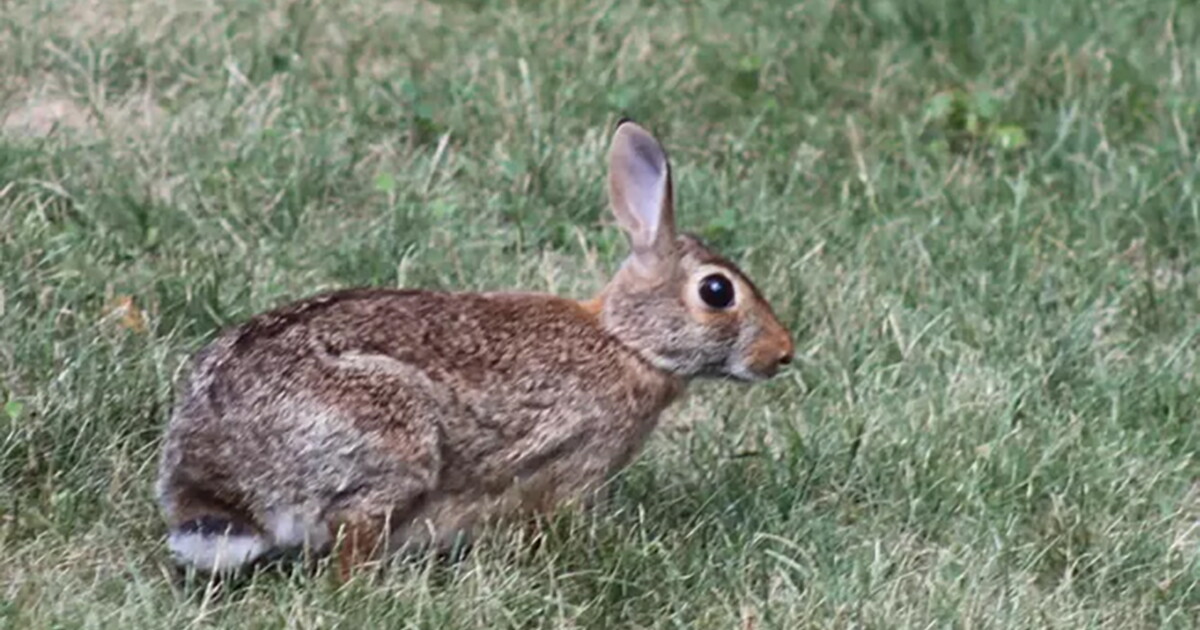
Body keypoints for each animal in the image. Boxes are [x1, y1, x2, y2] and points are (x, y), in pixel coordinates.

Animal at [155, 119, 795, 578]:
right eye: (717, 291)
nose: (783, 352)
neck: (627, 342)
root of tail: (219, 481)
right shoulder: (572, 463)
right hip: (394, 439)